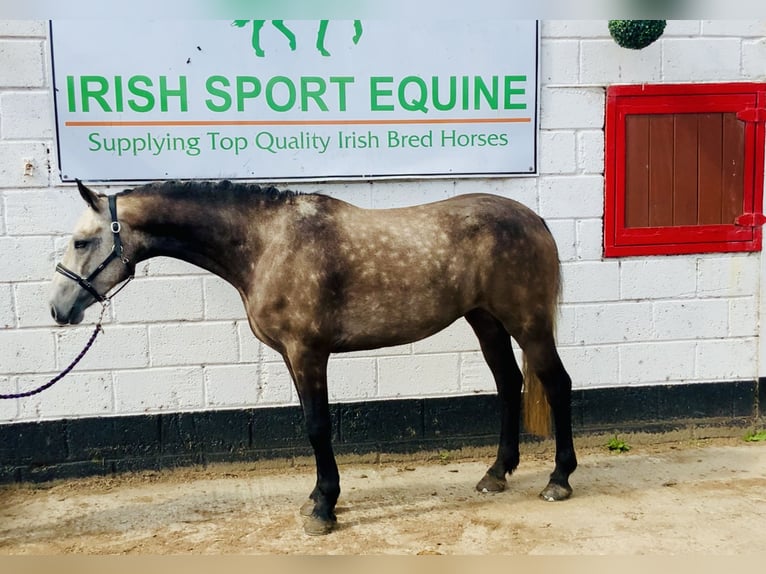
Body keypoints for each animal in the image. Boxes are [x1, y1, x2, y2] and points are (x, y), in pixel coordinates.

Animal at [49, 180, 576, 536]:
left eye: (81, 241)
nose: (58, 309)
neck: (266, 244)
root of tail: (535, 219)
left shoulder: (308, 352)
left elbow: (317, 426)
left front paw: (324, 508)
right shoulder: (292, 356)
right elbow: (309, 422)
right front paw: (317, 499)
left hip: (526, 323)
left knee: (556, 384)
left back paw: (559, 480)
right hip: (485, 320)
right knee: (508, 384)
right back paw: (496, 474)